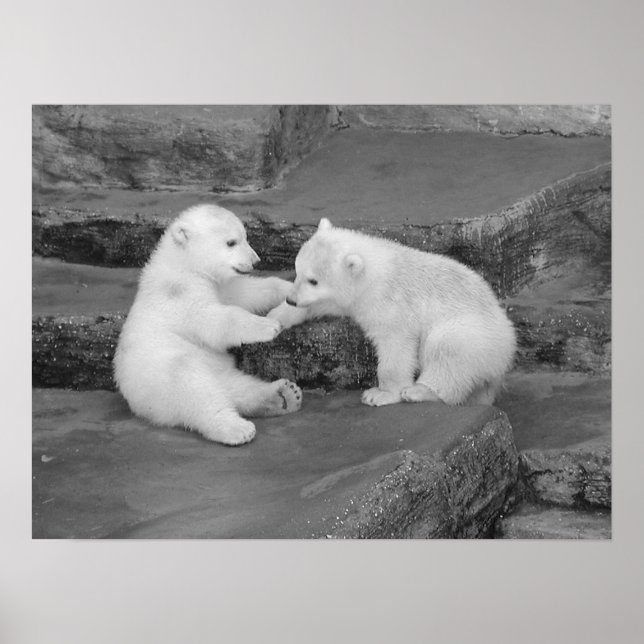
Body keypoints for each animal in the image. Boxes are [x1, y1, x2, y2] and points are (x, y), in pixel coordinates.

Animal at [113, 204, 301, 446]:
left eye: (245, 237)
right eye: (231, 242)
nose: (255, 261)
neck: (183, 263)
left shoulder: (220, 285)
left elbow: (246, 293)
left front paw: (290, 289)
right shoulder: (181, 295)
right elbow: (213, 320)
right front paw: (268, 325)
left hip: (219, 371)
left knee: (238, 387)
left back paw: (285, 396)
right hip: (162, 378)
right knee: (196, 389)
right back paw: (236, 428)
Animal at [267, 218, 516, 407]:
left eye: (314, 280)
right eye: (297, 270)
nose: (291, 299)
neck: (377, 272)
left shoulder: (390, 304)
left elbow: (395, 346)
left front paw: (380, 394)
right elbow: (327, 303)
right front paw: (275, 317)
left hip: (474, 334)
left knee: (447, 349)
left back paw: (420, 391)